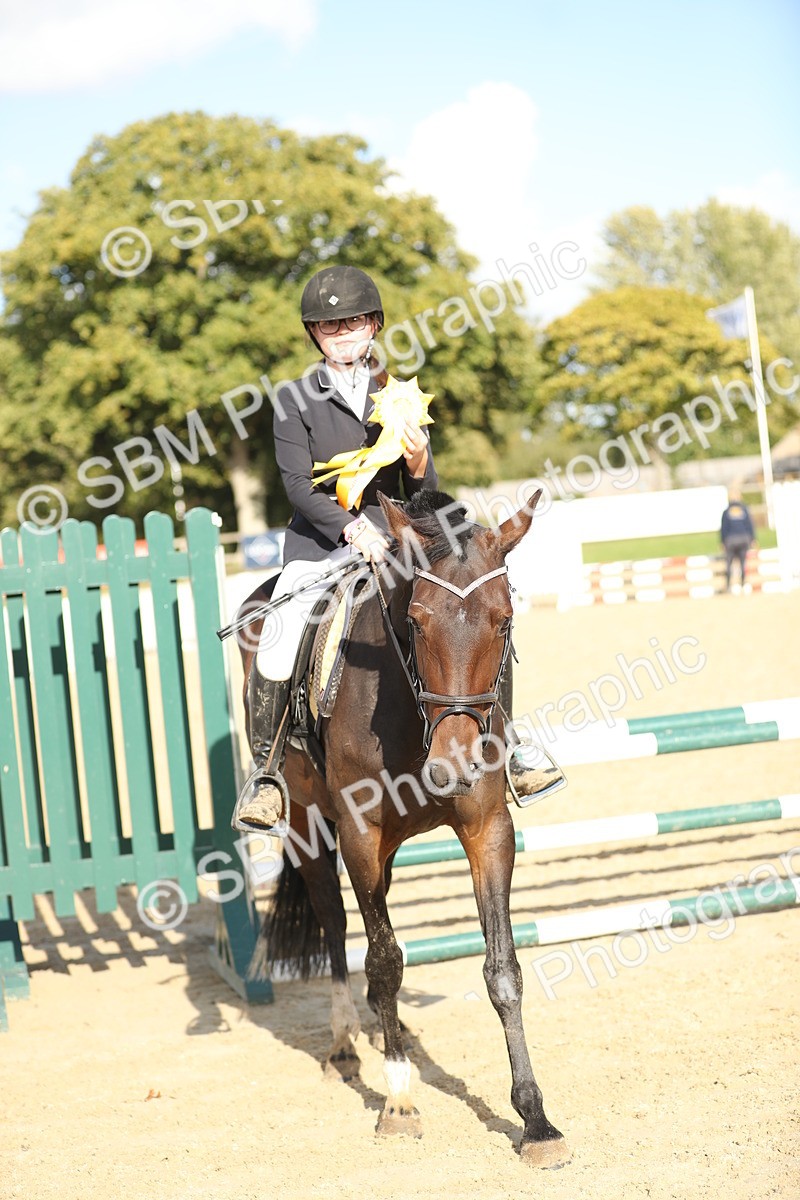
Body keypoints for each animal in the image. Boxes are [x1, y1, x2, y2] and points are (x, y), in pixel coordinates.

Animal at [237, 488, 569, 1169]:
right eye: (415, 622)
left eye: (504, 621)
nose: (455, 765)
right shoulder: (359, 835)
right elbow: (383, 960)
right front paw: (398, 1104)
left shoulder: (489, 829)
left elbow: (503, 969)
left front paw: (536, 1120)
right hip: (310, 826)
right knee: (336, 924)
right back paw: (346, 1042)